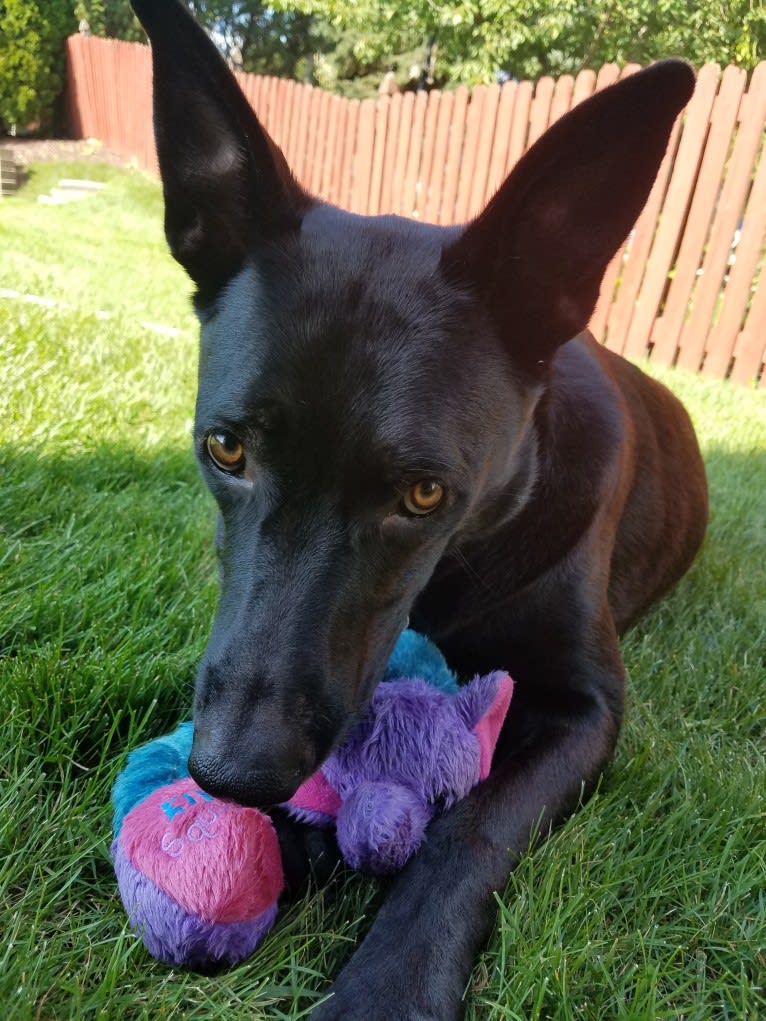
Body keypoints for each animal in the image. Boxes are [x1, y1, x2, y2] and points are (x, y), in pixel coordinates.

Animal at [129, 3, 710, 1016]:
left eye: (423, 493)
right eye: (227, 449)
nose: (232, 775)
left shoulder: (588, 705)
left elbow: (471, 823)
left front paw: (390, 981)